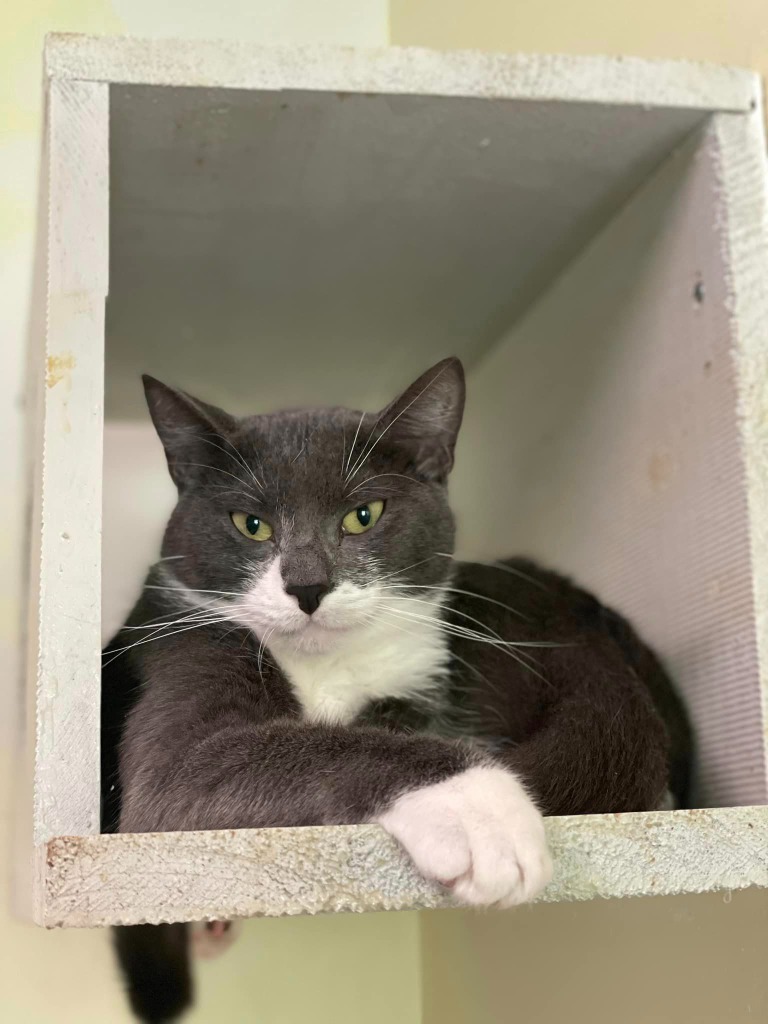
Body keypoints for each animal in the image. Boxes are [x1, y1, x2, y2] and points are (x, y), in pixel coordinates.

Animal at [99, 356, 696, 1019]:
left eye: (364, 515)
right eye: (250, 525)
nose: (307, 585)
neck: (325, 665)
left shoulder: (419, 675)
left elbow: (384, 726)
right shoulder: (181, 654)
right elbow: (209, 763)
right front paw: (482, 809)